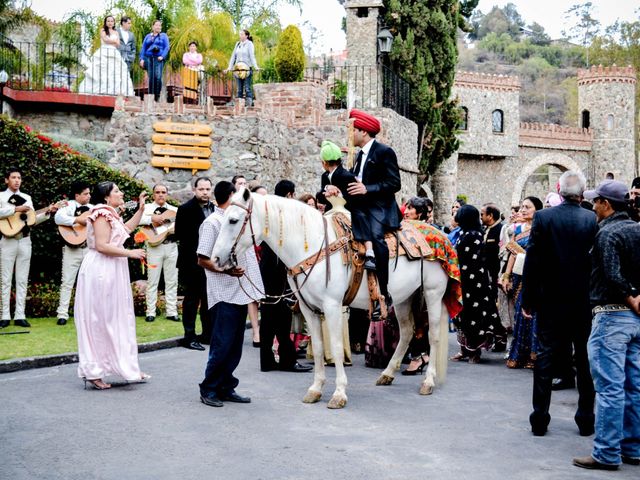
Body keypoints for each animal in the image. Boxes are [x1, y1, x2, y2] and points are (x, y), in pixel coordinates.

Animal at [214, 189, 450, 406]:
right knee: (408, 331)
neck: (314, 246)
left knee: (433, 335)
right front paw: (315, 389)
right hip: (403, 297)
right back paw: (388, 374)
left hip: (432, 292)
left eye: (233, 220)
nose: (216, 258)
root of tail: (439, 234)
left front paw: (339, 393)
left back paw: (428, 381)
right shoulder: (308, 309)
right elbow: (318, 347)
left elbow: (336, 348)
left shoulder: (332, 307)